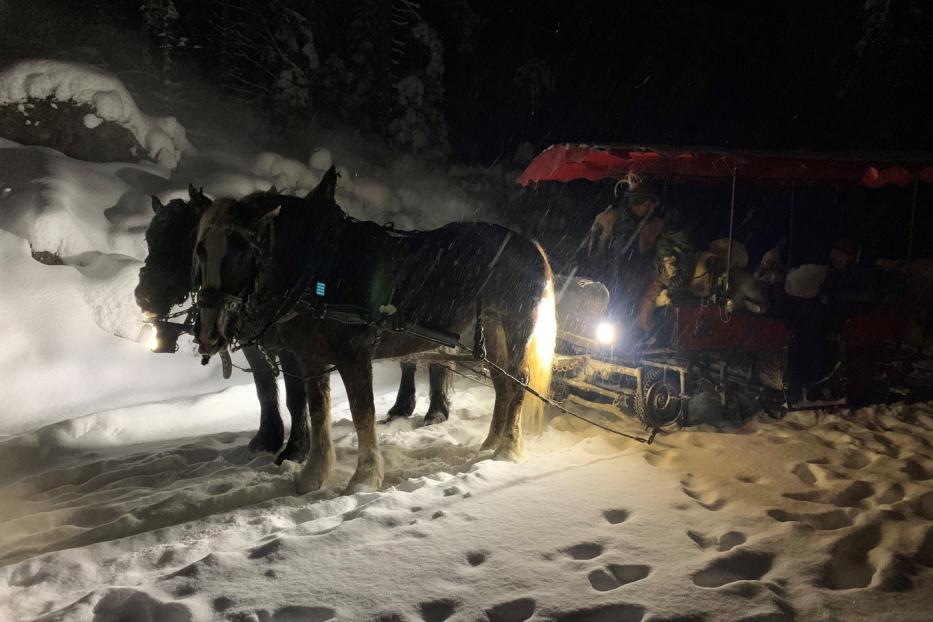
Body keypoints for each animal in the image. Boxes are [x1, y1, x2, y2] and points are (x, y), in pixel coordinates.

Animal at [137, 188, 456, 466]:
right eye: (150, 239)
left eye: (185, 241)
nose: (143, 295)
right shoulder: (258, 345)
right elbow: (265, 389)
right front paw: (267, 439)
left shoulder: (292, 349)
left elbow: (295, 397)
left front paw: (296, 449)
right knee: (413, 360)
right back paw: (403, 408)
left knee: (436, 361)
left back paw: (435, 412)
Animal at [190, 168, 552, 494]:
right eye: (200, 251)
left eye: (241, 253)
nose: (208, 334)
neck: (321, 269)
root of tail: (533, 247)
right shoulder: (311, 358)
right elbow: (318, 411)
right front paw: (313, 476)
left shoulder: (354, 357)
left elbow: (362, 413)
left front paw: (363, 480)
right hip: (493, 327)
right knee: (503, 383)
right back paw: (491, 442)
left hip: (516, 326)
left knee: (519, 381)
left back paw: (507, 449)